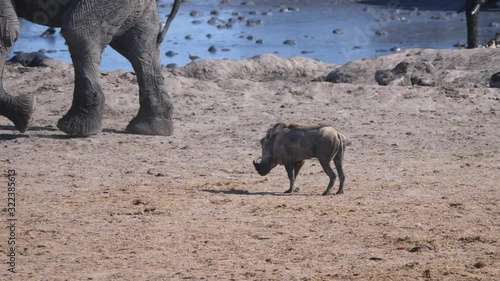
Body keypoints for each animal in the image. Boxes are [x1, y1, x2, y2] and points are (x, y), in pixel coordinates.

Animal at [0, 0, 183, 136]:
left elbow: (6, 32)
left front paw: (25, 113)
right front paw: (24, 113)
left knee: (79, 32)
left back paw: (76, 129)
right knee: (141, 44)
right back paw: (150, 129)